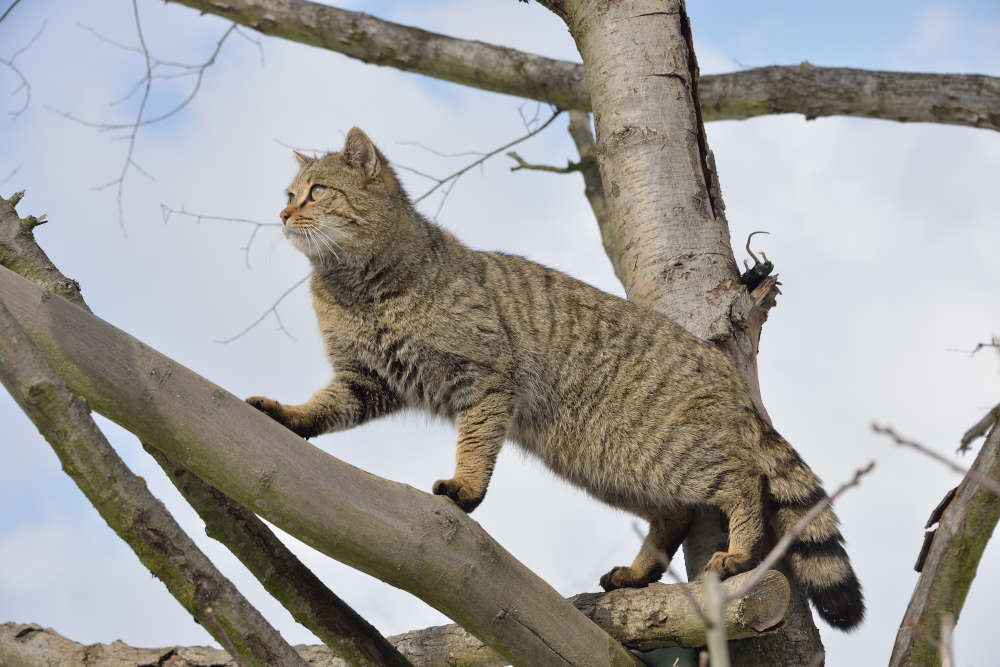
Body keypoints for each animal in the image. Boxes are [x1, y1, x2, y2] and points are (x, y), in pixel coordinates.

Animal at [246, 128, 864, 628]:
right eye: (287, 195)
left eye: (317, 191)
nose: (282, 215)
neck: (352, 285)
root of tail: (725, 370)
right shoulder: (367, 379)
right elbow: (324, 406)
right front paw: (289, 415)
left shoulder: (484, 377)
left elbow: (475, 443)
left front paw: (466, 486)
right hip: (609, 464)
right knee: (675, 513)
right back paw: (638, 573)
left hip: (671, 452)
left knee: (742, 480)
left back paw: (738, 551)